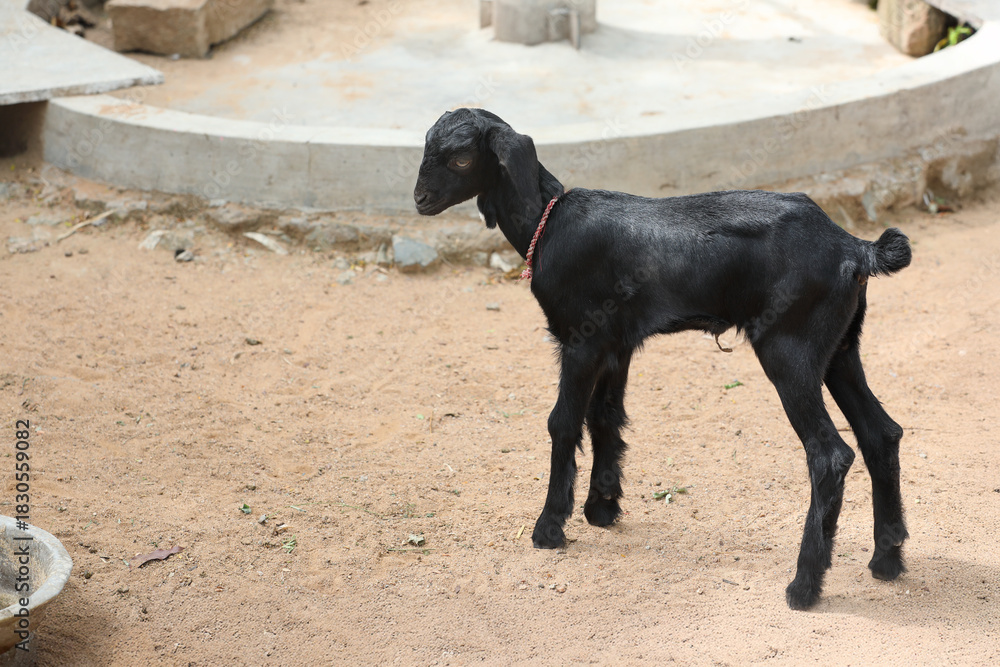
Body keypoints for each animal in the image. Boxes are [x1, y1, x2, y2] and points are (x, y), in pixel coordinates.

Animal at [413, 108, 911, 610]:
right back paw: (886, 561)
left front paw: (550, 527)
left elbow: (563, 422)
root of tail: (854, 248)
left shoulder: (581, 339)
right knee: (881, 433)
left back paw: (805, 585)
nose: (420, 198)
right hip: (839, 349)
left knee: (829, 455)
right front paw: (602, 508)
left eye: (460, 158)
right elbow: (605, 416)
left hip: (789, 349)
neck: (548, 223)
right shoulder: (616, 344)